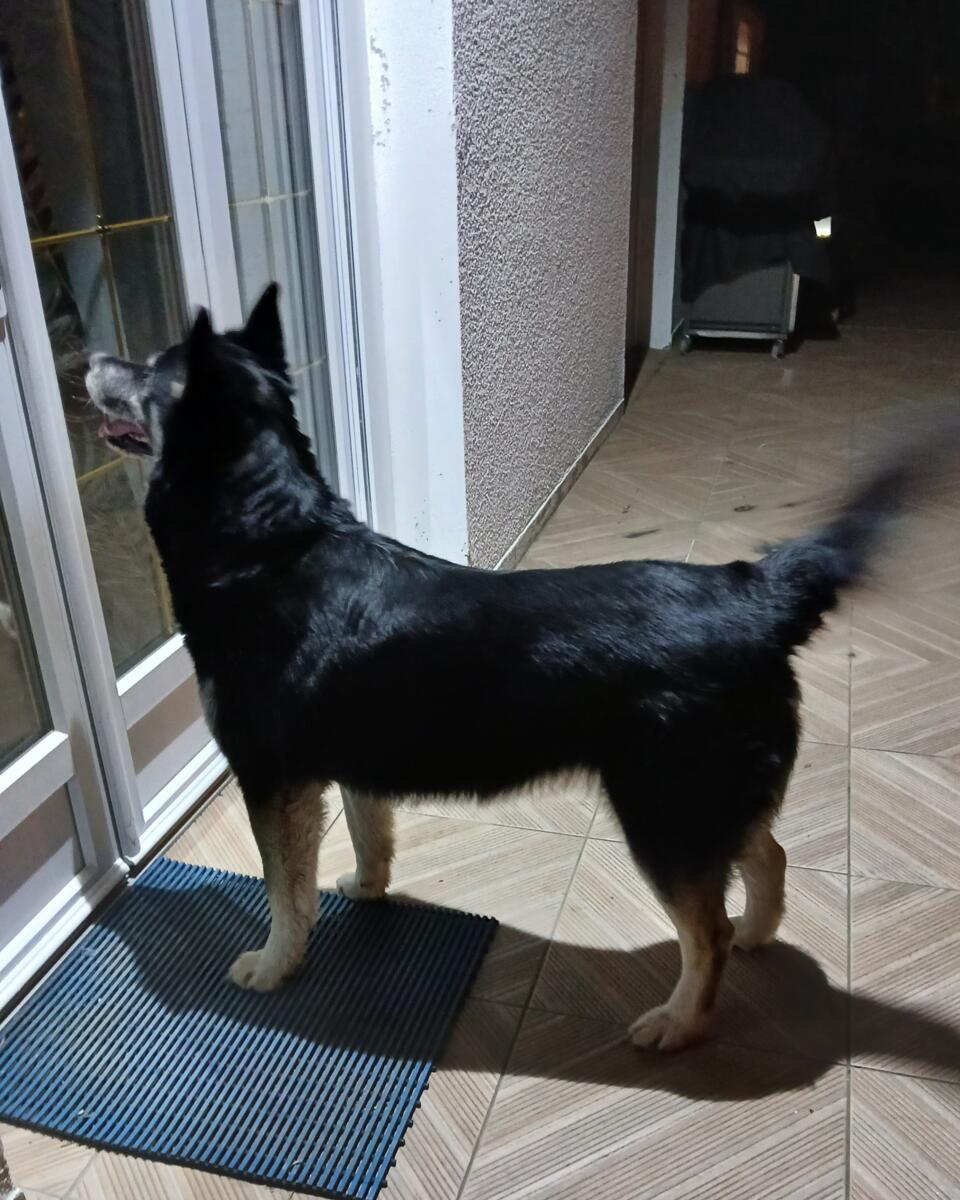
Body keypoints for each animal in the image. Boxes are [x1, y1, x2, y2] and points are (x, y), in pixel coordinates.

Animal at [85, 285, 954, 1051]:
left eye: (148, 369)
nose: (90, 356)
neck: (271, 540)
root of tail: (756, 591)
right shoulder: (351, 755)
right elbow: (369, 833)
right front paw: (366, 890)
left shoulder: (270, 777)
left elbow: (281, 888)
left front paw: (274, 966)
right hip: (709, 799)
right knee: (768, 855)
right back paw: (756, 932)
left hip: (664, 814)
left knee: (703, 929)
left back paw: (680, 1023)